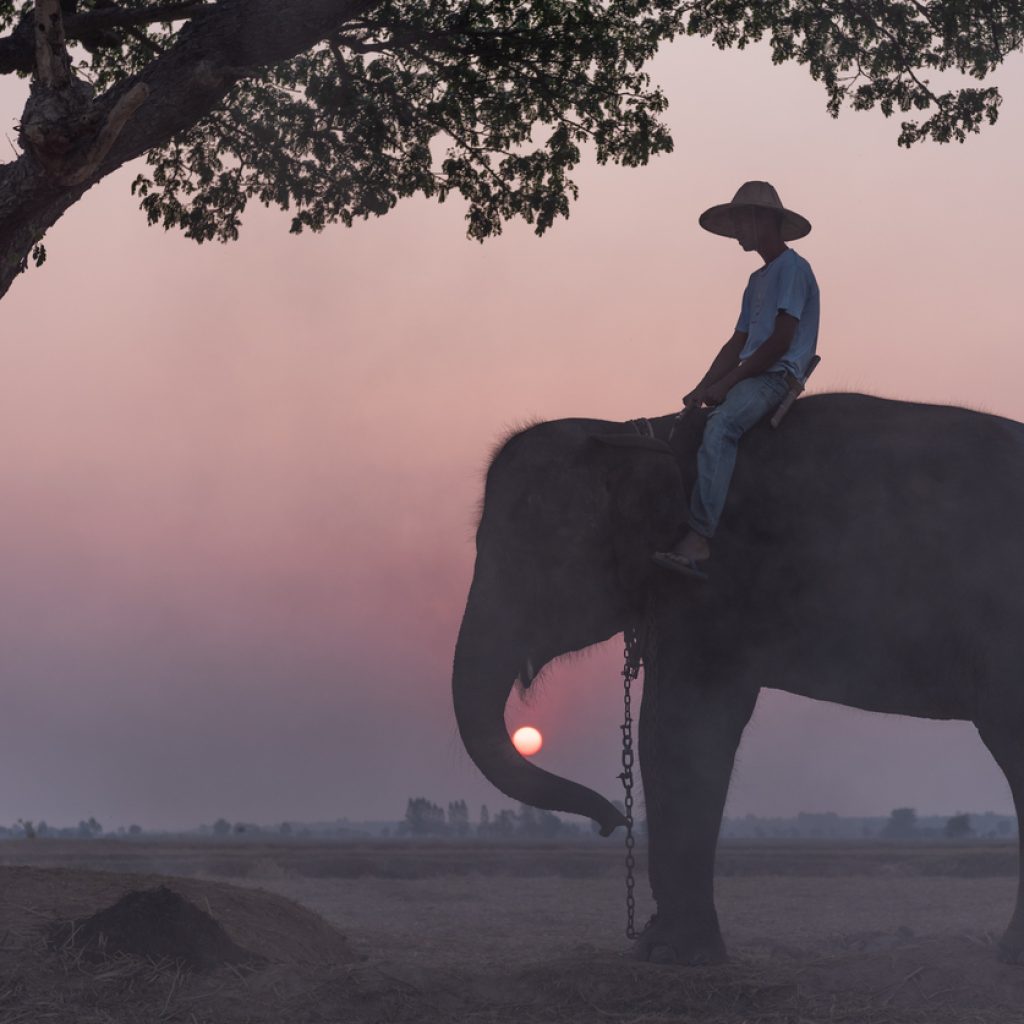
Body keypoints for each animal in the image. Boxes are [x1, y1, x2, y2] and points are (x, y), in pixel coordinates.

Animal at [451, 392, 1024, 965]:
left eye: (535, 552)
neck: (641, 432)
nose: (611, 821)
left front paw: (672, 955)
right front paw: (663, 949)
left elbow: (679, 727)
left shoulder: (709, 582)